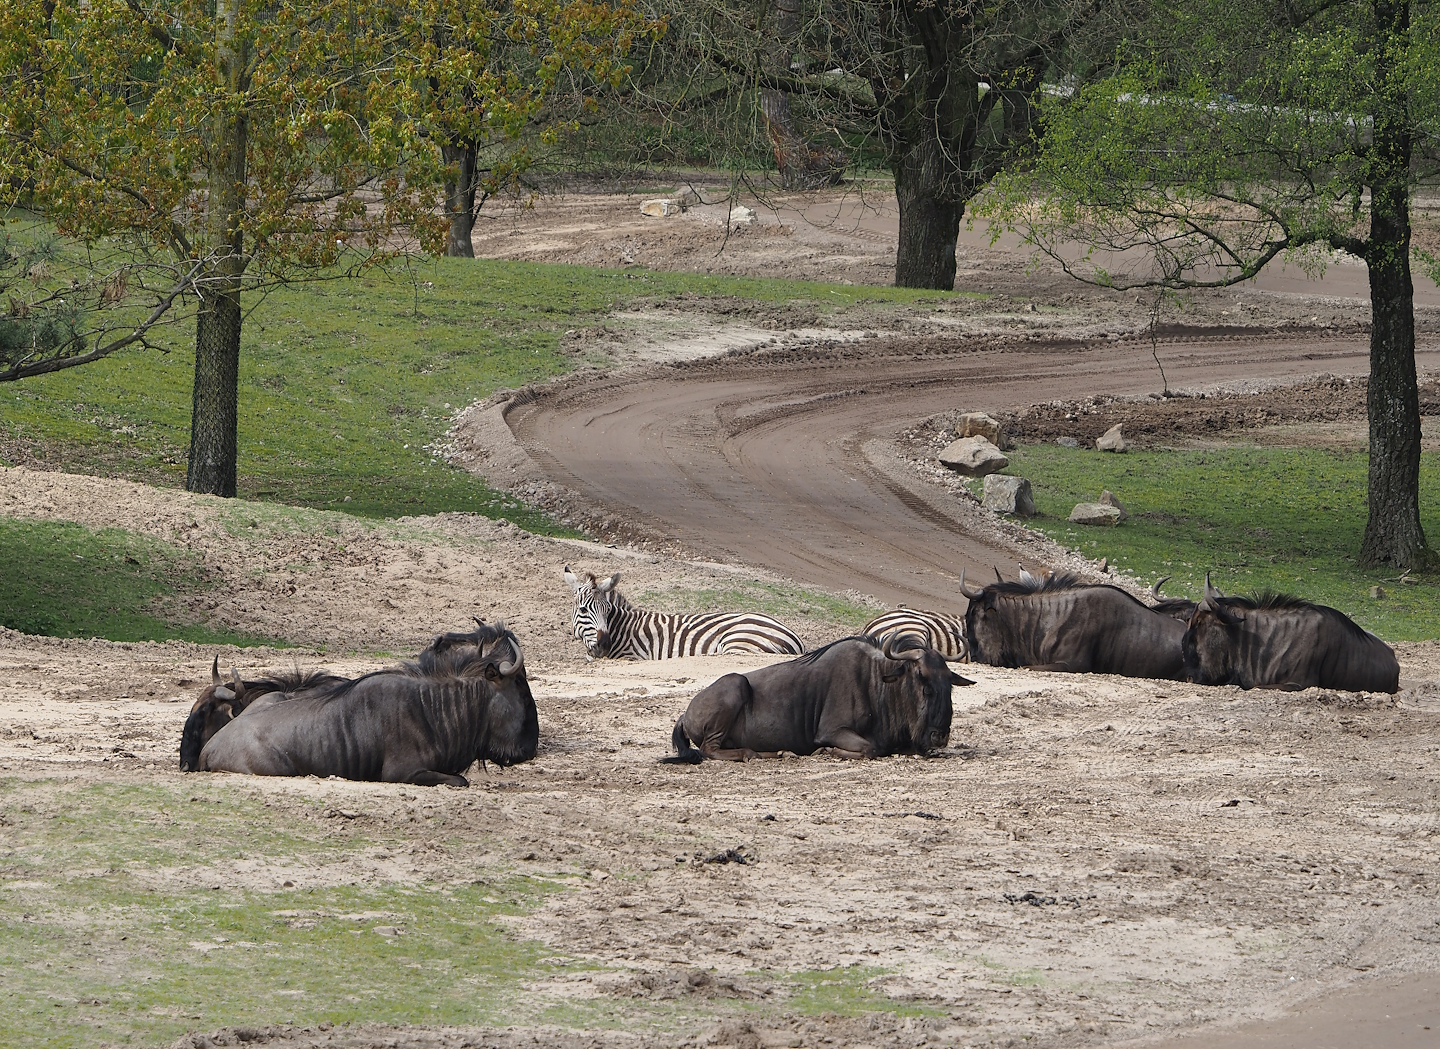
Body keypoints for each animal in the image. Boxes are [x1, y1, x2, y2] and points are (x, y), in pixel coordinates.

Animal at [563, 566, 805, 660]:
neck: (623, 629)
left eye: (607, 611)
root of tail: (796, 638)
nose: (604, 645)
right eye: (584, 609)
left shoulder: (633, 656)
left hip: (740, 642)